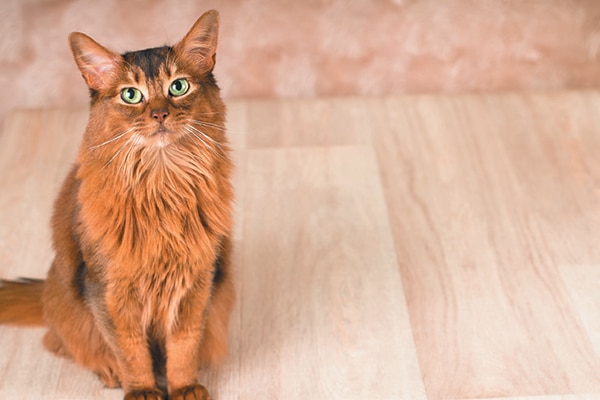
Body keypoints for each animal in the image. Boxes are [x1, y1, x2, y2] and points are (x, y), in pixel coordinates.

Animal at [0, 9, 233, 400]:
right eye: (130, 95)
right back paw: (109, 370)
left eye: (178, 87)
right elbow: (130, 349)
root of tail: (47, 288)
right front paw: (141, 388)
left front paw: (183, 384)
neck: (162, 184)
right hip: (70, 303)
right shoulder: (108, 291)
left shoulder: (196, 282)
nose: (159, 114)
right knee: (60, 342)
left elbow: (184, 344)